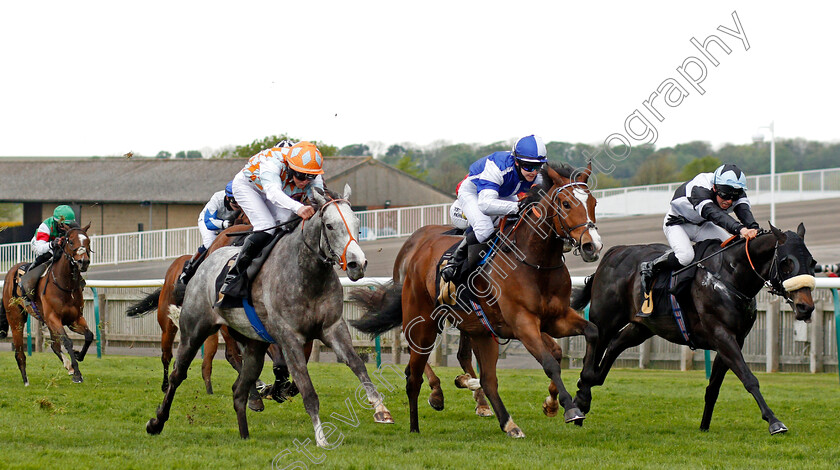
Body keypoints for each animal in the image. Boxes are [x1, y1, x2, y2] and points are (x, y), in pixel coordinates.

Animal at [0, 222, 93, 384]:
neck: (65, 285)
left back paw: (68, 365)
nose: (84, 261)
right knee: (19, 352)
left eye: (87, 241)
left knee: (55, 345)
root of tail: (10, 273)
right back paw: (26, 381)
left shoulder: (74, 319)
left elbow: (89, 336)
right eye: (71, 241)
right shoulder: (53, 318)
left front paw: (77, 357)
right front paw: (77, 373)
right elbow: (67, 341)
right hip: (16, 318)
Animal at [146, 185, 396, 442]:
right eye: (329, 225)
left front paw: (381, 409)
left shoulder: (332, 328)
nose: (358, 264)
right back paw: (157, 422)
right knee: (178, 373)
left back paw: (246, 431)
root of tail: (205, 262)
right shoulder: (289, 338)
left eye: (357, 223)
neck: (306, 274)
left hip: (253, 345)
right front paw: (321, 439)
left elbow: (357, 365)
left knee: (239, 388)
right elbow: (306, 388)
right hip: (194, 330)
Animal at [352, 162, 600, 436]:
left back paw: (503, 419)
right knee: (416, 365)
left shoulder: (556, 318)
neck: (535, 262)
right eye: (566, 204)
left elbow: (588, 334)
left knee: (485, 377)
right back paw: (430, 406)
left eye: (594, 203)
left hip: (479, 329)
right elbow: (549, 362)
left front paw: (574, 393)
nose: (592, 246)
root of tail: (416, 249)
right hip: (423, 320)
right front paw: (570, 408)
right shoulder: (522, 323)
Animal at [572, 222, 812, 436]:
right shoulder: (722, 335)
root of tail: (613, 253)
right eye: (786, 262)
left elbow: (713, 388)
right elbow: (749, 378)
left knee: (612, 349)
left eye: (812, 262)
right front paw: (774, 421)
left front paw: (704, 426)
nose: (806, 307)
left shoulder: (734, 340)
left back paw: (582, 397)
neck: (730, 275)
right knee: (592, 356)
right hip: (605, 321)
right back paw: (582, 398)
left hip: (642, 327)